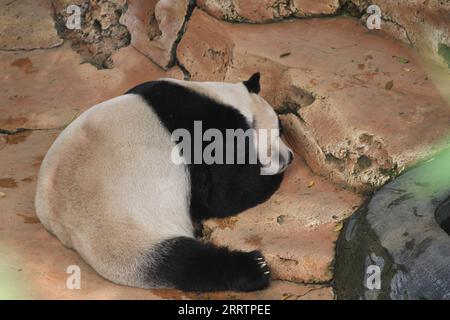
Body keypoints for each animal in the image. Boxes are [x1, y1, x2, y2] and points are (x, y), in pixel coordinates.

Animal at [36, 73, 296, 292]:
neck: (229, 101)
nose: (290, 156)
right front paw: (268, 176)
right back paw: (254, 267)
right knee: (183, 263)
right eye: (279, 131)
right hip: (129, 231)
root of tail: (68, 231)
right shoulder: (208, 133)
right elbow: (223, 197)